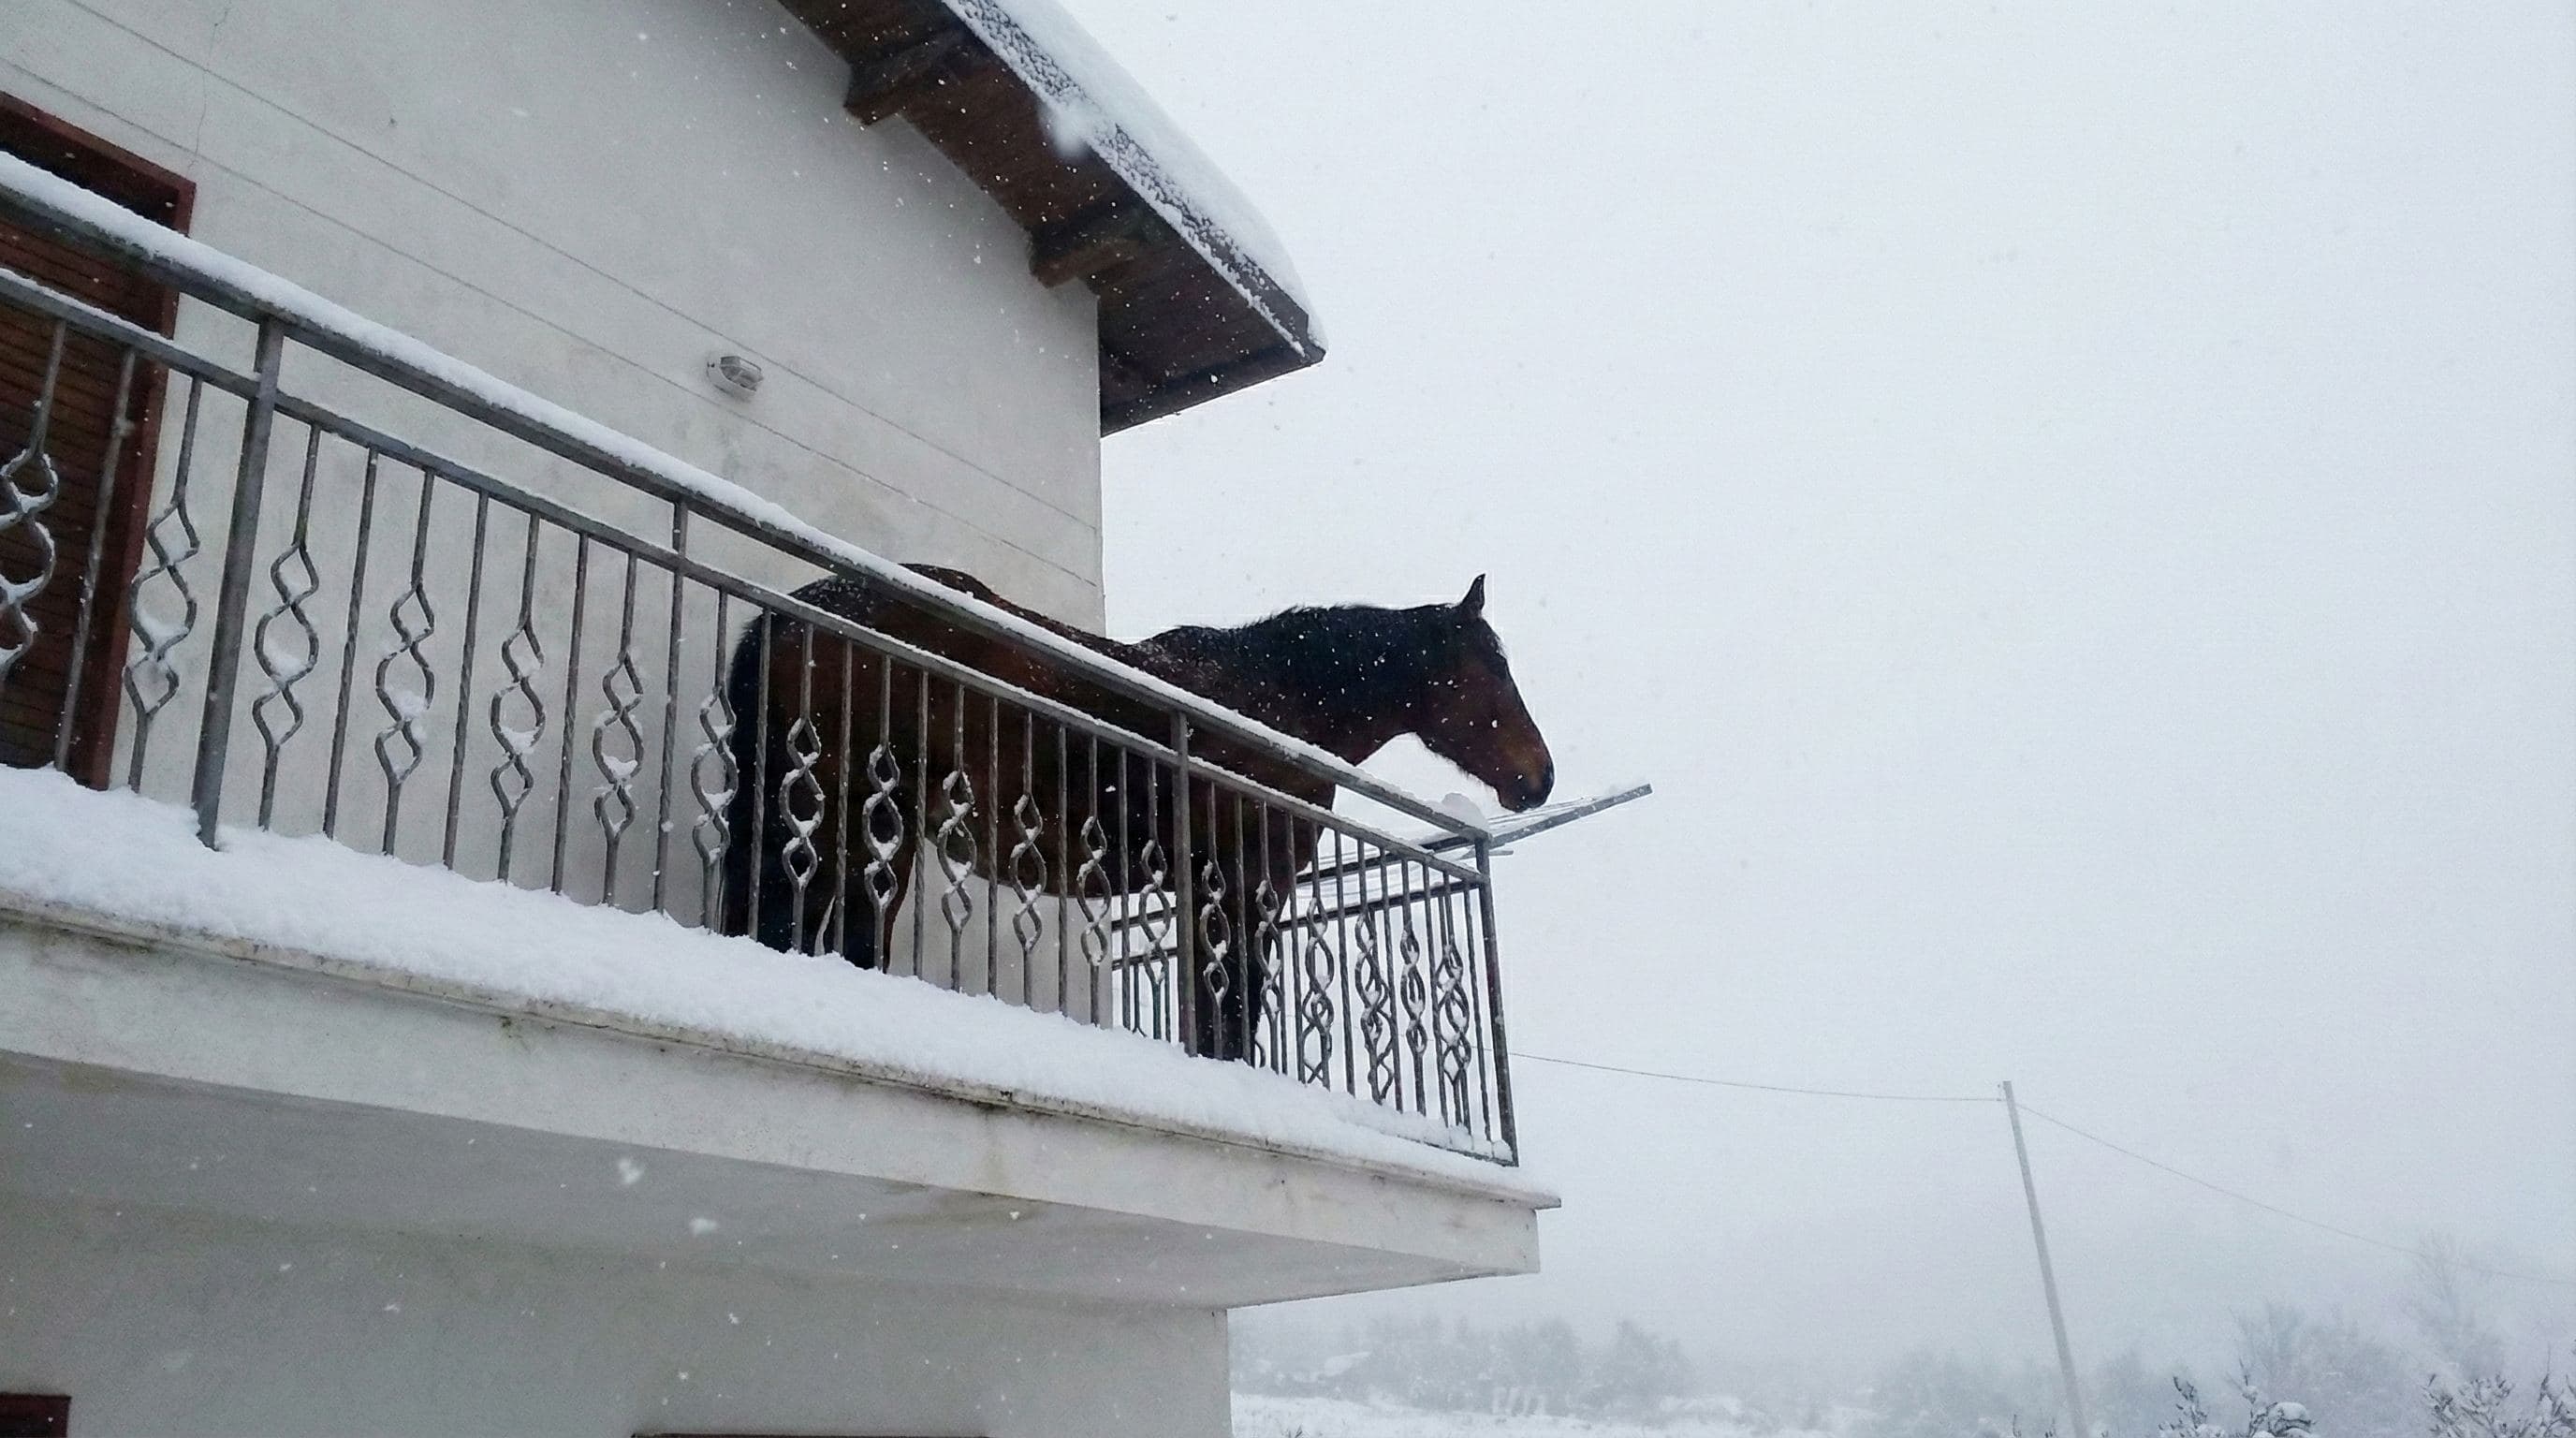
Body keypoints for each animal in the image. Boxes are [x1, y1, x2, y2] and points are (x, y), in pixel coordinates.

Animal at [714, 564, 1553, 1061]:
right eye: (1492, 667)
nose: (1539, 777)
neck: (1271, 704)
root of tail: (794, 610)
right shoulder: (1249, 886)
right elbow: (1234, 1009)